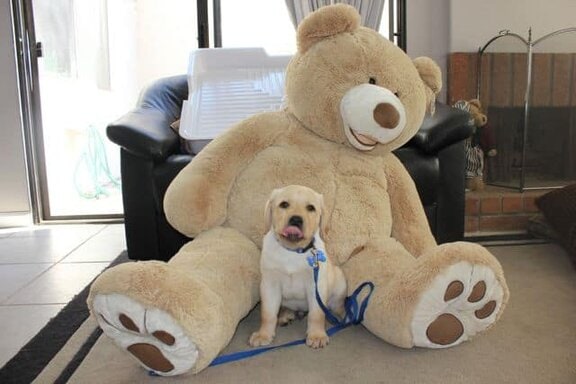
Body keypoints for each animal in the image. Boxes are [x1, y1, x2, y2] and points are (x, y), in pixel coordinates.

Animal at [249, 184, 346, 350]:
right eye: (284, 204)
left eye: (311, 208)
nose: (296, 219)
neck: (293, 251)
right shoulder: (269, 284)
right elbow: (268, 314)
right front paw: (264, 335)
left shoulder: (316, 285)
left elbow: (316, 314)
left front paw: (317, 335)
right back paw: (284, 315)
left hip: (339, 282)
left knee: (336, 304)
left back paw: (339, 316)